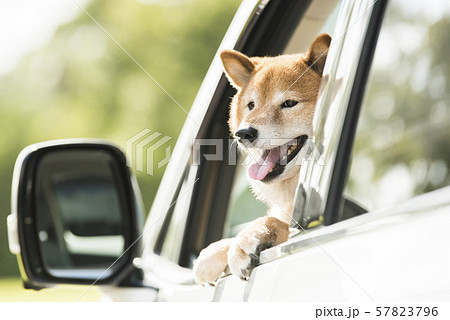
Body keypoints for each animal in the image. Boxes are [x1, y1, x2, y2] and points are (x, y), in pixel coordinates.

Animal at [192, 33, 332, 284]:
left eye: (289, 103)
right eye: (251, 106)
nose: (244, 133)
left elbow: (272, 222)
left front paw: (244, 242)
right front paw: (214, 252)